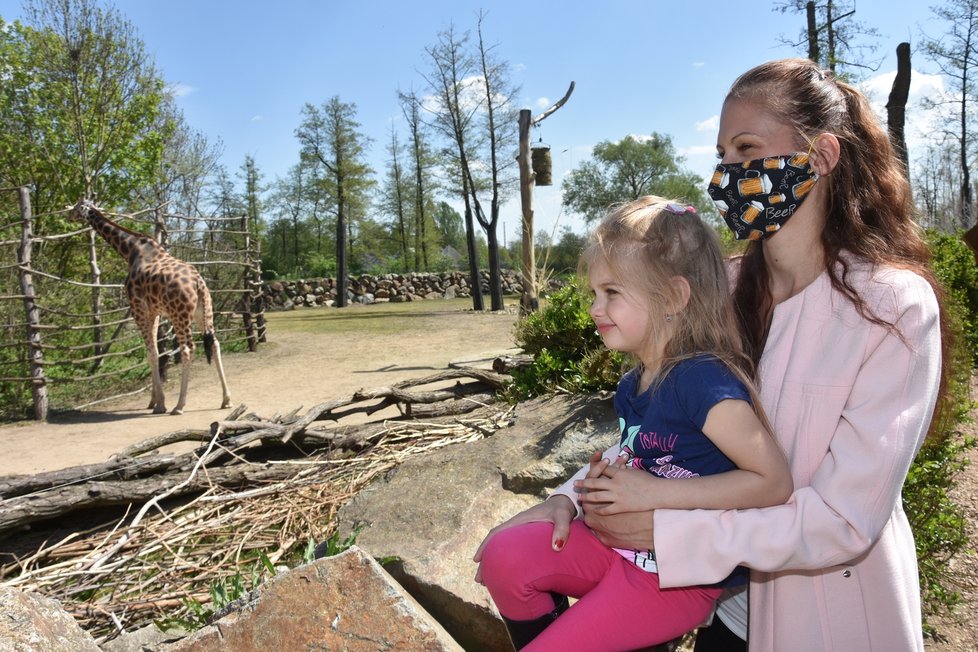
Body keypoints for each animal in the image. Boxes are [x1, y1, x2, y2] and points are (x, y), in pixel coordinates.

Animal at [71, 199, 231, 416]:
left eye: (77, 206)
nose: (69, 215)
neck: (129, 251)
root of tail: (198, 283)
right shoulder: (154, 312)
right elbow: (153, 351)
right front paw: (153, 401)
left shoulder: (138, 309)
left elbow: (151, 353)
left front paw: (160, 403)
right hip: (204, 312)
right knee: (214, 344)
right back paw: (226, 400)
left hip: (179, 315)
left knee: (187, 349)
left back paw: (179, 406)